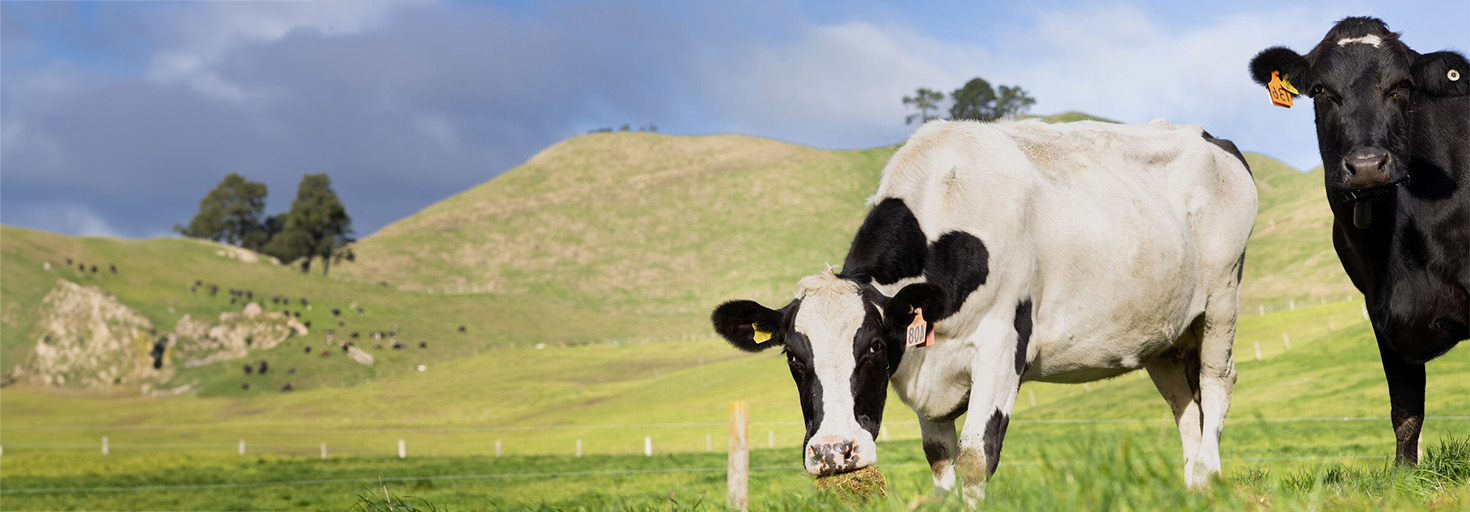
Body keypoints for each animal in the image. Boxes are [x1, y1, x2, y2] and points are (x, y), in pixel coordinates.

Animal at [711, 117, 1252, 503]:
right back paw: (1194, 487)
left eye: (872, 348)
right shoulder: (927, 376)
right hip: (1165, 335)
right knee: (1185, 405)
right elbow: (939, 459)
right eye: (794, 358)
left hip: (1222, 299)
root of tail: (1209, 137)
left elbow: (975, 454)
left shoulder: (1001, 346)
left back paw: (1210, 475)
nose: (833, 452)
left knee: (1216, 384)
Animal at [1246, 16, 1464, 464]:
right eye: (1320, 90)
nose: (1366, 167)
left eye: (1402, 86)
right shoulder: (1379, 309)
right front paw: (1404, 474)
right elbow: (1405, 411)